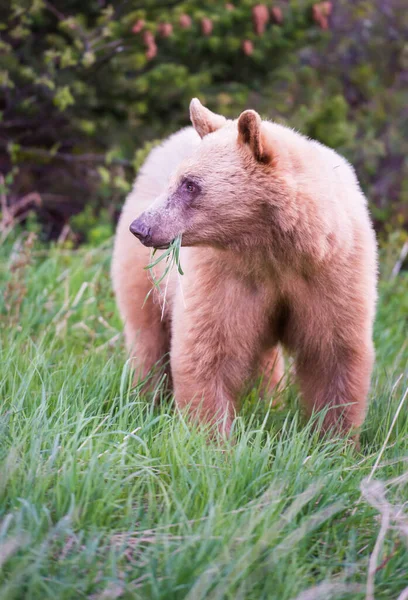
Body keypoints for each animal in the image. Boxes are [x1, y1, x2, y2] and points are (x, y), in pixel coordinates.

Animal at [111, 97, 376, 436]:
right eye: (177, 181)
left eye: (189, 184)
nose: (142, 227)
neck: (274, 249)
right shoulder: (224, 275)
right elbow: (208, 349)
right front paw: (211, 436)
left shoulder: (333, 274)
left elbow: (333, 354)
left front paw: (334, 438)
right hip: (143, 278)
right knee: (147, 335)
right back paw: (146, 396)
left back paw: (269, 400)